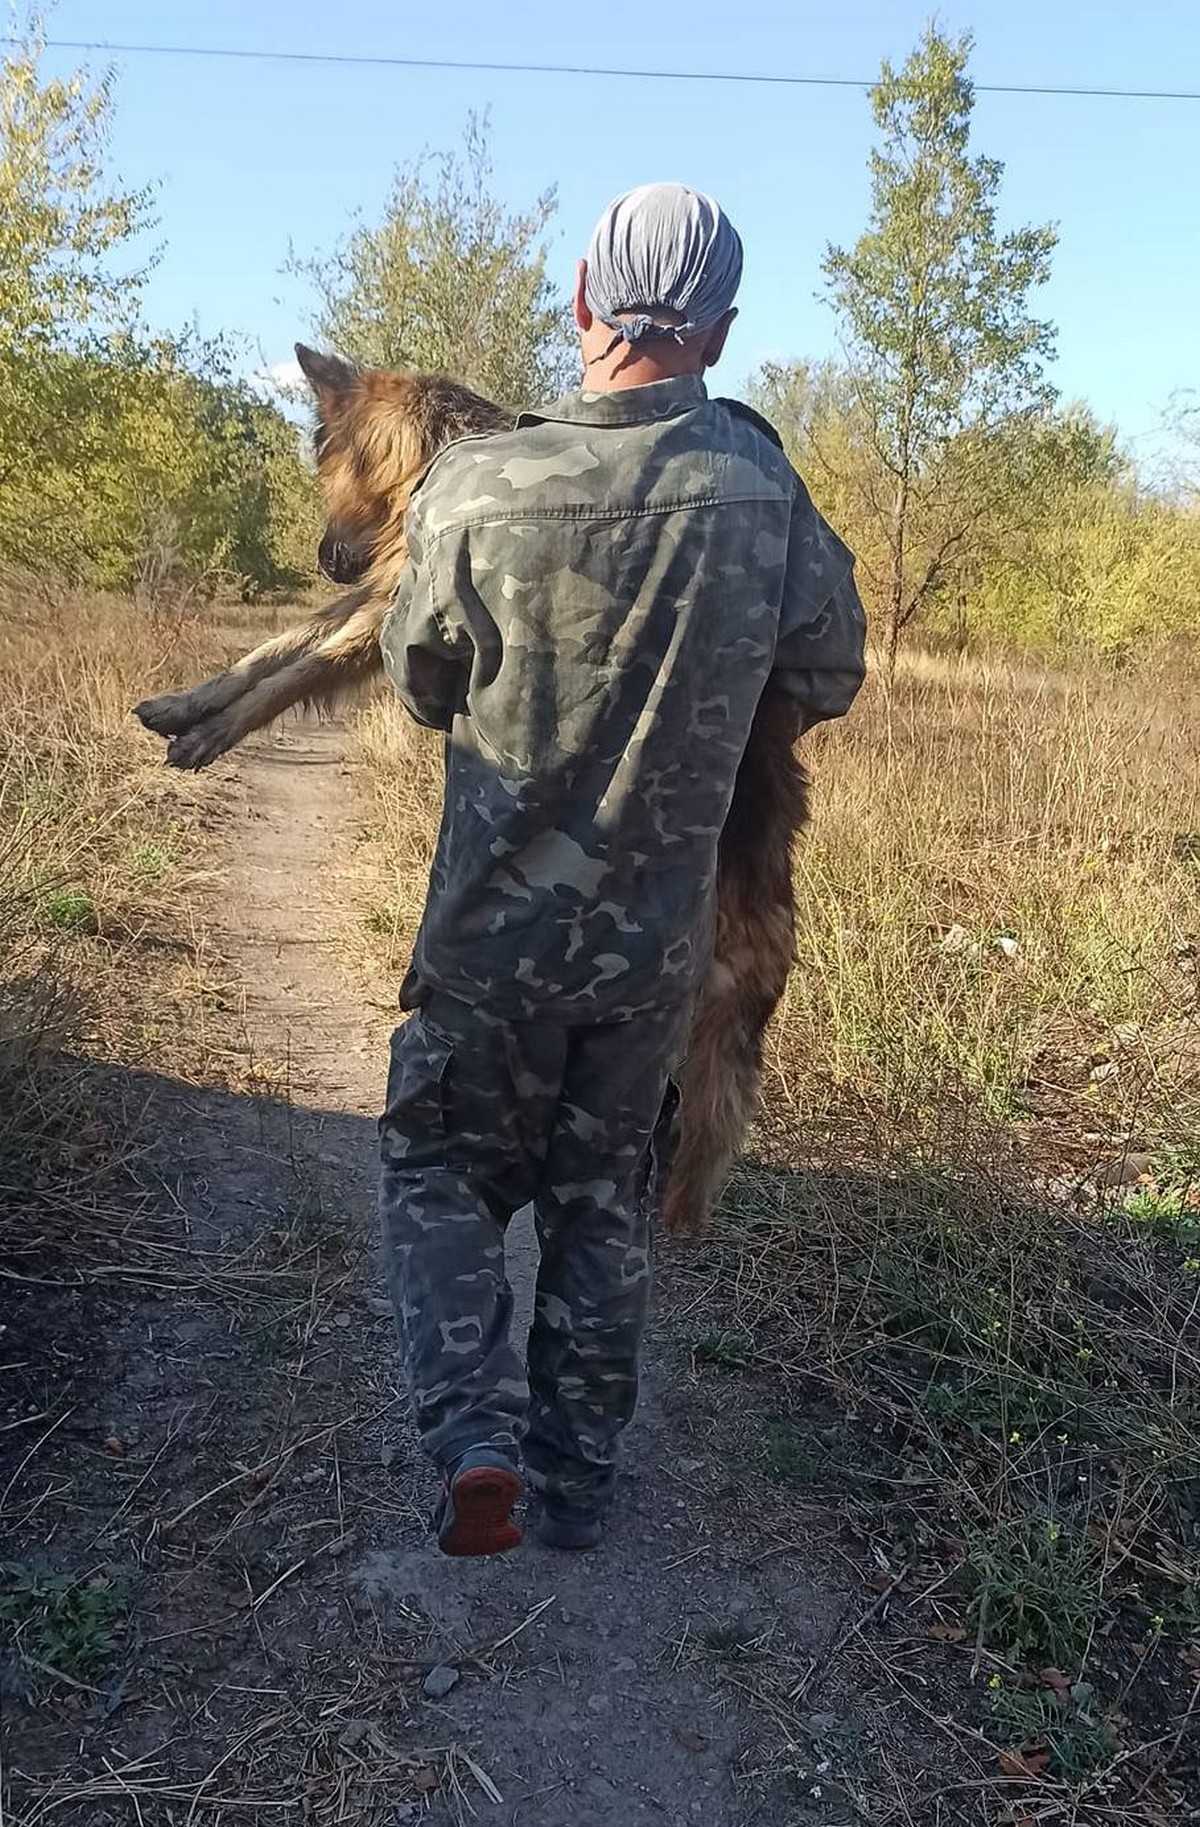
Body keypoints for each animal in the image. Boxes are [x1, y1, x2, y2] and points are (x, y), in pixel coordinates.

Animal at [136, 345, 810, 1227]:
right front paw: (187, 705)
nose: (323, 558)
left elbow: (295, 671)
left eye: (321, 460)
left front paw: (210, 733)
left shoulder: (394, 608)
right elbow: (274, 648)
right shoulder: (375, 596)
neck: (435, 450)